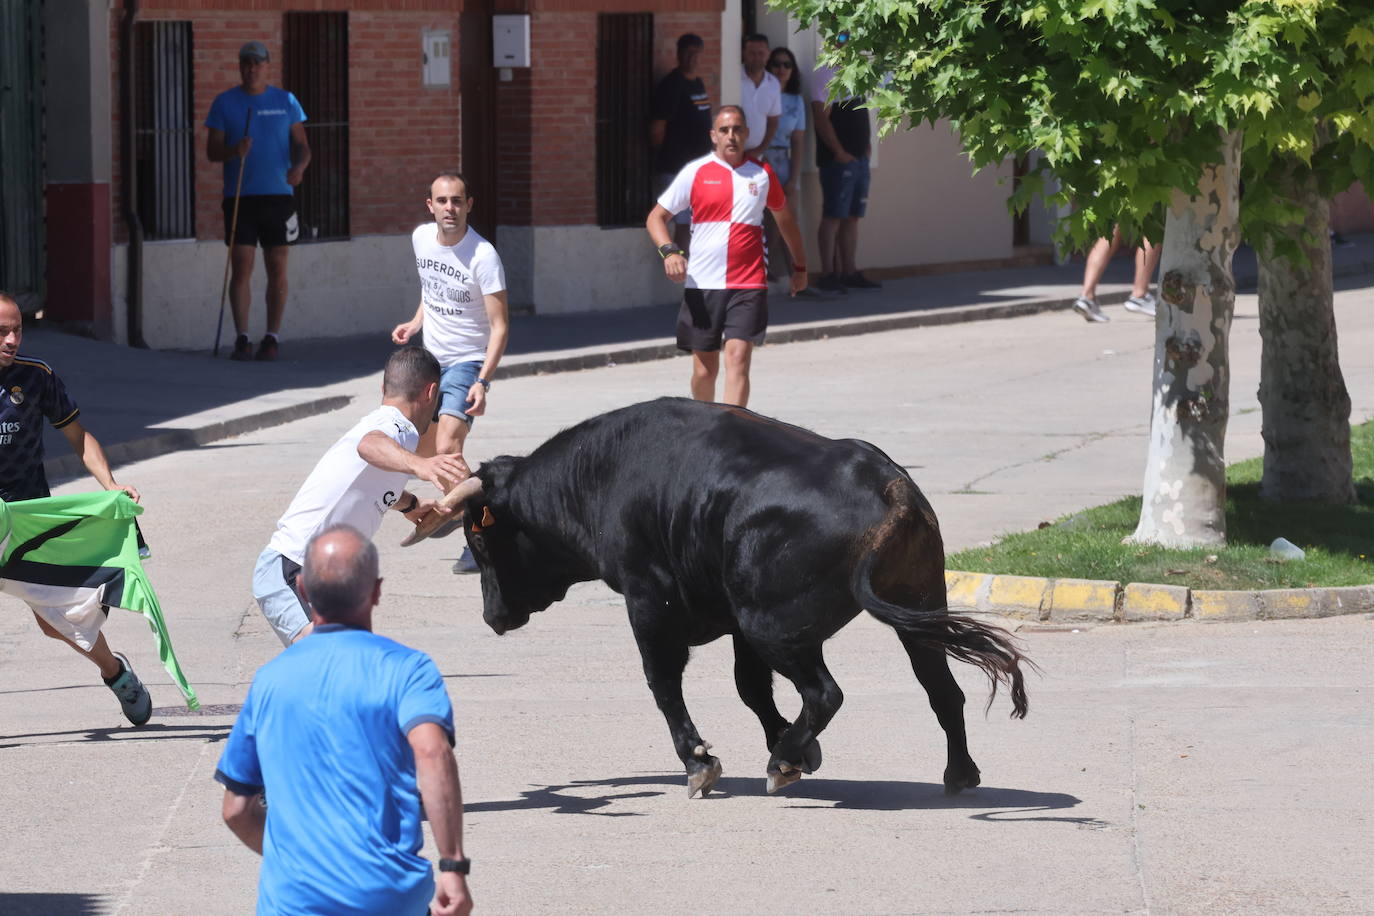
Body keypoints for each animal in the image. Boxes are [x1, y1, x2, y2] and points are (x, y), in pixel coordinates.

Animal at [434, 398, 1027, 796]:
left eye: (479, 540)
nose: (492, 616)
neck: (597, 478)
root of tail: (887, 485)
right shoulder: (735, 622)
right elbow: (750, 688)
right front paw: (797, 747)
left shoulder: (650, 604)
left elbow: (663, 682)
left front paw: (701, 762)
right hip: (916, 607)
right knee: (942, 690)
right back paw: (958, 773)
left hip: (778, 626)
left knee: (825, 692)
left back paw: (782, 762)